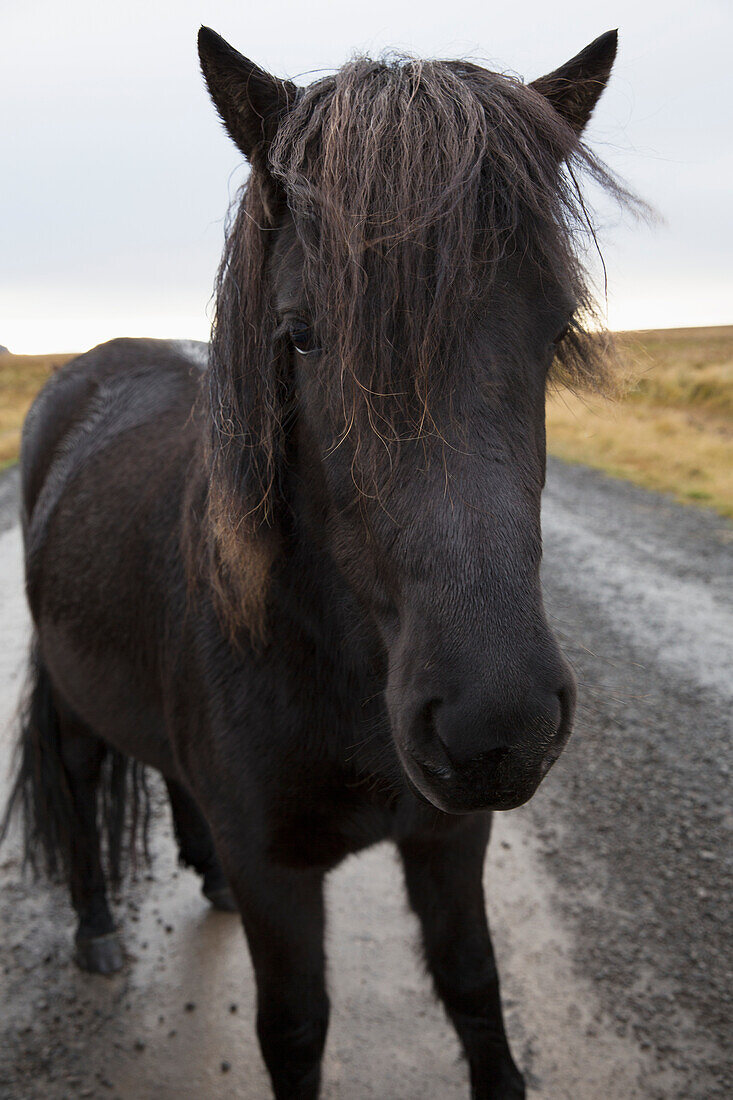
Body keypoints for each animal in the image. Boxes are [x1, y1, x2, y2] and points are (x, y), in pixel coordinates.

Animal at [2, 25, 625, 1100]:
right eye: (299, 335)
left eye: (554, 336)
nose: (498, 727)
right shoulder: (280, 879)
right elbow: (294, 1030)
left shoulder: (450, 839)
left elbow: (474, 989)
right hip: (76, 709)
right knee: (80, 790)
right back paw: (95, 928)